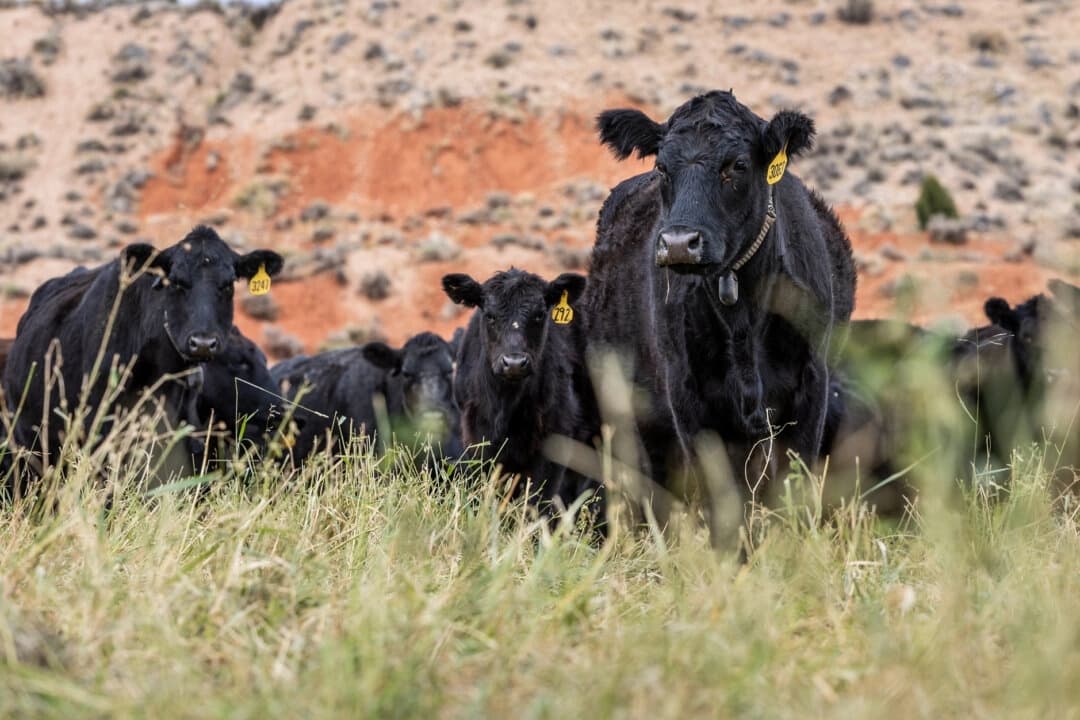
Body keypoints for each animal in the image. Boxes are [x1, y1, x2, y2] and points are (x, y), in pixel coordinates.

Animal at [442, 268, 602, 525]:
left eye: (539, 315)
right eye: (490, 315)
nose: (514, 363)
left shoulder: (555, 443)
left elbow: (539, 504)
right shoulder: (477, 440)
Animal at [586, 91, 857, 525]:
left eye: (738, 166)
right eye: (661, 167)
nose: (679, 243)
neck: (742, 316)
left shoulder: (810, 389)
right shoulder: (689, 400)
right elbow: (725, 503)